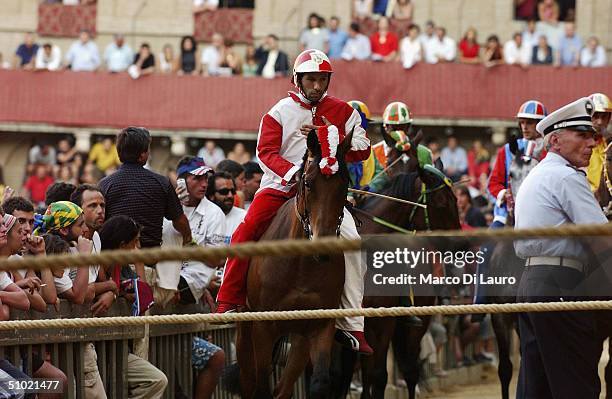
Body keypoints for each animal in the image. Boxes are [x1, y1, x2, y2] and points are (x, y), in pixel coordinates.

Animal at [334, 129, 460, 399]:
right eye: (443, 203)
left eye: (455, 200)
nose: (462, 243)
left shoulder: (382, 322)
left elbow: (377, 376)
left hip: (414, 326)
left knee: (410, 370)